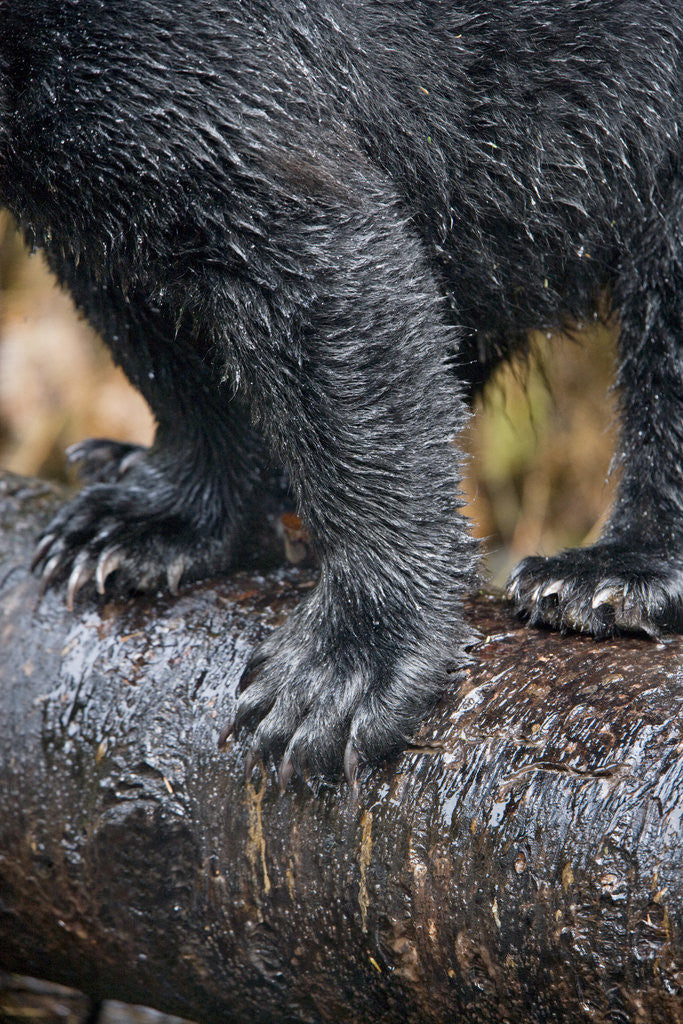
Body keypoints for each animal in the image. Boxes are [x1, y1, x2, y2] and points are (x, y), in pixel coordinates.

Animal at [0, 0, 681, 787]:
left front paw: (341, 674)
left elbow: (317, 251)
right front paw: (138, 526)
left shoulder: (173, 50)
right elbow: (141, 295)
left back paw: (610, 572)